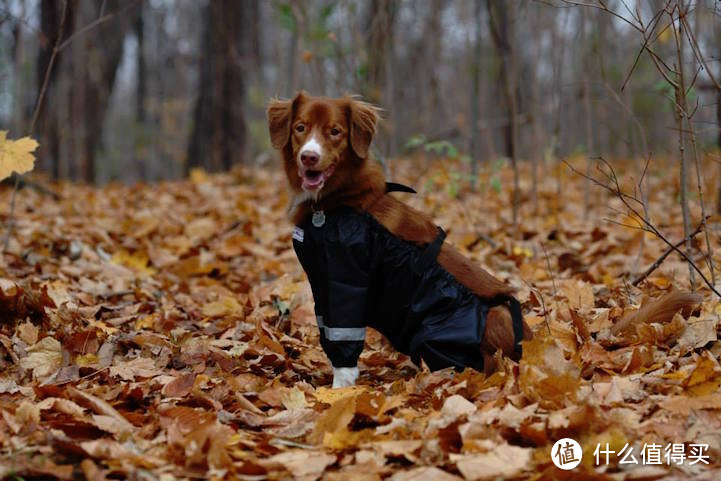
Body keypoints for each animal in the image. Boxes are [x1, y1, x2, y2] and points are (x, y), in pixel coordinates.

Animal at [268, 92, 532, 386]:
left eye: (335, 132)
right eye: (300, 127)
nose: (309, 157)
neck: (334, 203)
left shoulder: (344, 282)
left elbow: (343, 345)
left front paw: (337, 391)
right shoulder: (322, 285)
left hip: (436, 335)